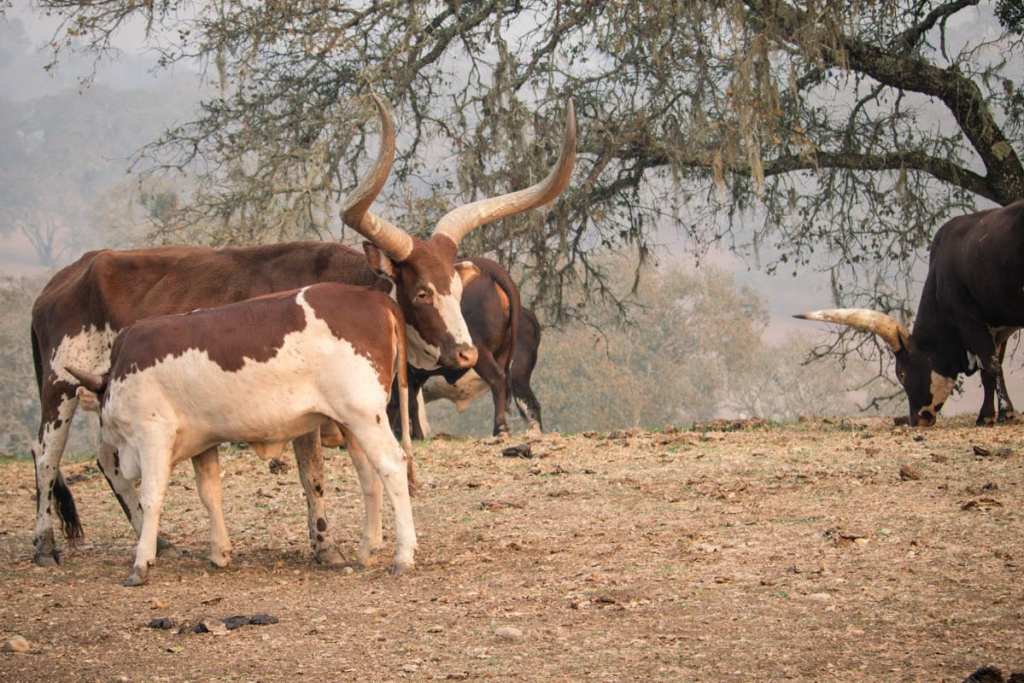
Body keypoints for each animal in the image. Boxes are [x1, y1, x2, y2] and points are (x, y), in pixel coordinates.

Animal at [28, 96, 581, 565]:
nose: (465, 355)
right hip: (60, 389)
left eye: (453, 287)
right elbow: (312, 473)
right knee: (46, 456)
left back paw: (155, 538)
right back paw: (45, 545)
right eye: (421, 292)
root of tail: (60, 280)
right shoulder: (311, 412)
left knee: (108, 460)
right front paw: (325, 546)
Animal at [798, 200, 1024, 428]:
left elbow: (991, 367)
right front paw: (995, 414)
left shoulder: (970, 321)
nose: (916, 419)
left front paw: (996, 415)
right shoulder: (998, 329)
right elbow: (992, 371)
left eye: (902, 373)